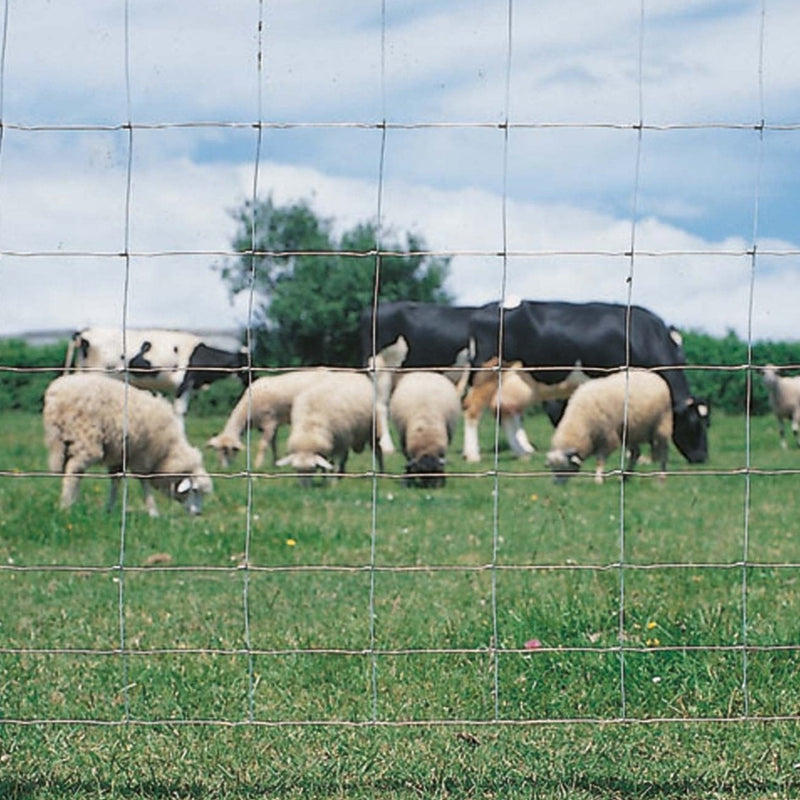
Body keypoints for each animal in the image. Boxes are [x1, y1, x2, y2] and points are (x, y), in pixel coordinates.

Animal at [43, 374, 212, 516]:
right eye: (195, 490)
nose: (198, 513)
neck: (168, 452)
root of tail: (56, 394)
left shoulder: (118, 456)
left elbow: (115, 482)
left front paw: (109, 510)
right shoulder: (142, 456)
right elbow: (144, 483)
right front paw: (153, 512)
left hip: (60, 442)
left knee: (74, 472)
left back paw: (72, 502)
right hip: (86, 439)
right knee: (74, 471)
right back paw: (66, 507)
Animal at [64, 328, 248, 418]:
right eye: (245, 364)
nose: (250, 381)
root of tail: (84, 333)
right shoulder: (182, 385)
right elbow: (179, 413)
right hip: (97, 374)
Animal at [466, 300, 708, 462]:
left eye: (708, 423)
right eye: (693, 422)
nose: (702, 458)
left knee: (504, 409)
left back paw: (522, 452)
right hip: (488, 369)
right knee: (473, 408)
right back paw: (473, 455)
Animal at [544, 368, 676, 482]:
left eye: (564, 468)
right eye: (553, 469)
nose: (556, 484)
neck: (581, 422)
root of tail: (655, 376)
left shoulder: (608, 437)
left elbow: (600, 460)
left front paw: (598, 479)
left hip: (662, 426)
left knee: (663, 453)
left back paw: (661, 478)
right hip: (632, 431)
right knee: (635, 453)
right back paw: (625, 477)